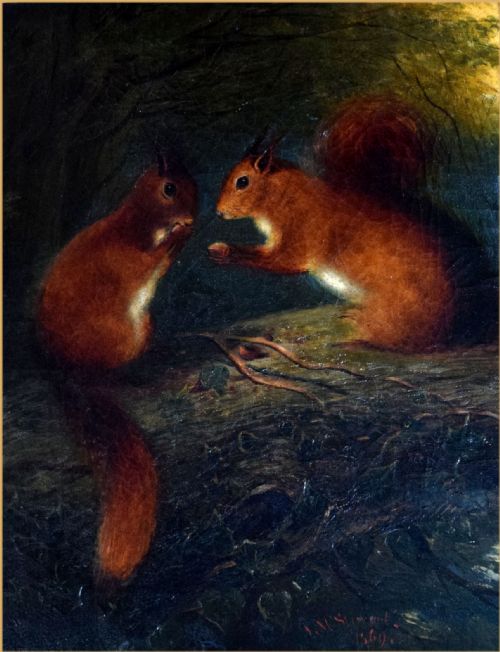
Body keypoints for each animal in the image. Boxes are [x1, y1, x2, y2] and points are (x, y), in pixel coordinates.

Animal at [37, 154, 197, 586]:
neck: (134, 222)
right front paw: (179, 237)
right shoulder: (129, 257)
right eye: (169, 188)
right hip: (129, 333)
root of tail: (66, 370)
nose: (194, 213)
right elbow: (153, 261)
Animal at [209, 95, 497, 352]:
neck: (283, 196)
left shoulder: (299, 237)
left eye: (242, 181)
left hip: (390, 314)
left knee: (399, 343)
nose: (219, 213)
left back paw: (359, 337)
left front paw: (225, 251)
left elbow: (275, 260)